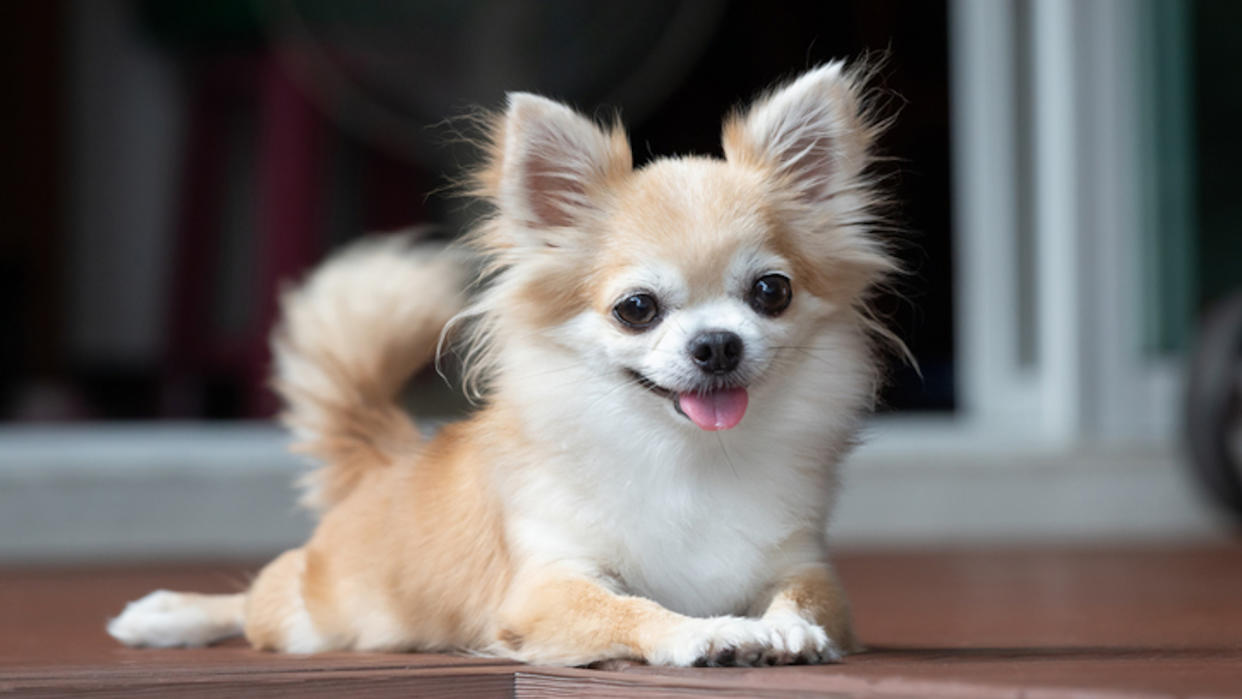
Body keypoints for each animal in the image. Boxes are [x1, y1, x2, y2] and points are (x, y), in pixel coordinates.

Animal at [109, 61, 894, 665]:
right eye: (636, 308)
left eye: (771, 292)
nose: (717, 344)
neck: (687, 455)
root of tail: (390, 457)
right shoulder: (549, 584)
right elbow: (634, 609)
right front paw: (711, 632)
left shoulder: (806, 565)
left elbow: (802, 597)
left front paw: (784, 627)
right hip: (312, 616)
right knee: (255, 598)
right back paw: (167, 614)